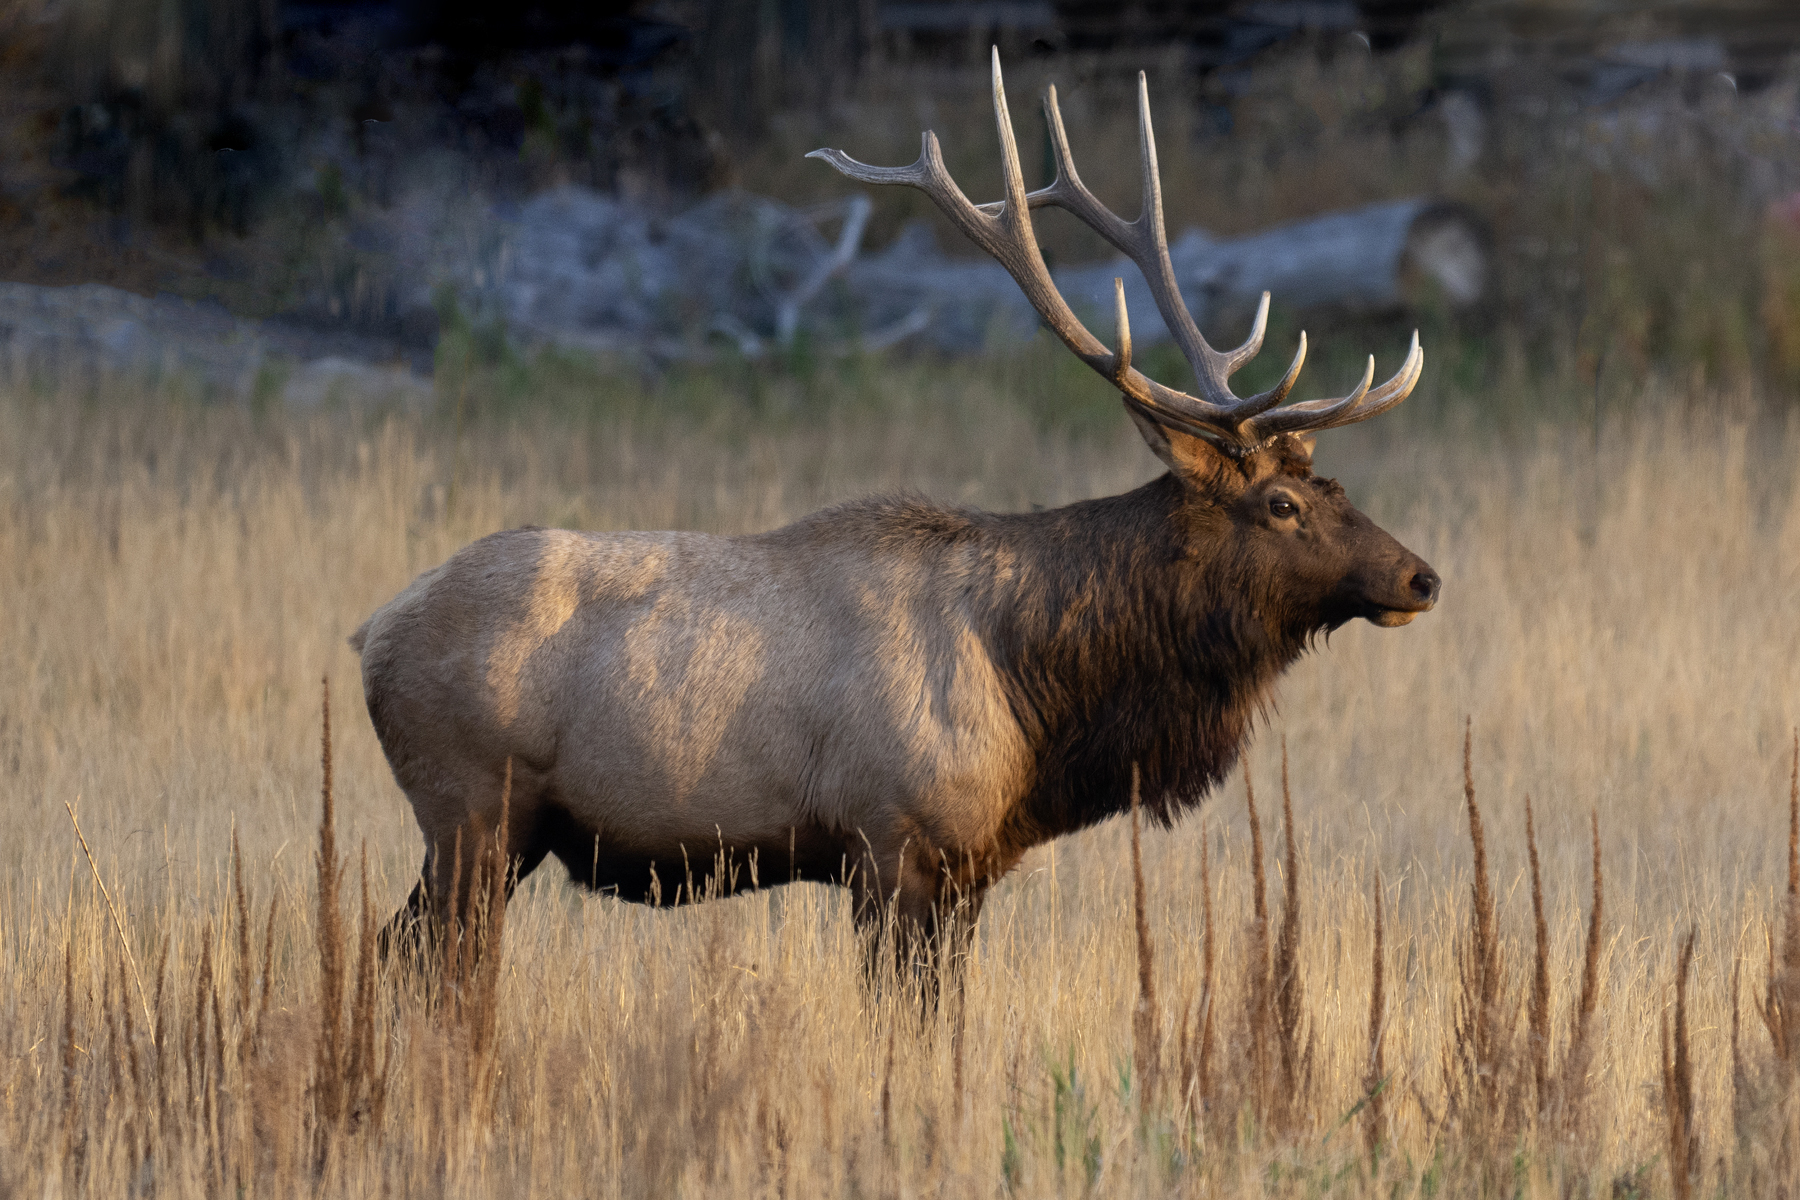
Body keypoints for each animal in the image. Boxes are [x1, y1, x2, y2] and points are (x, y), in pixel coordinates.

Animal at [358, 53, 1440, 978]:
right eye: (1281, 502)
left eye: (1337, 488)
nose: (1421, 576)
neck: (1038, 700)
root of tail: (371, 633)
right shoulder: (891, 841)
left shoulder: (969, 867)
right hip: (472, 811)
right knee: (429, 958)